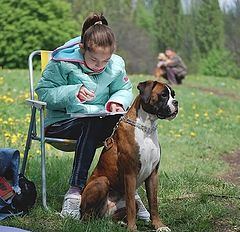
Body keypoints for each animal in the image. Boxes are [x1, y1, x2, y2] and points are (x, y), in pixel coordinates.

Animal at [81, 80, 177, 231]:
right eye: (163, 95)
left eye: (173, 95)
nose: (176, 102)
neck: (146, 128)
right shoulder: (130, 173)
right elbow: (131, 203)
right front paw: (132, 228)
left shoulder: (153, 175)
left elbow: (153, 203)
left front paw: (159, 225)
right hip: (101, 182)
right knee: (87, 216)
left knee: (110, 217)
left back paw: (119, 223)